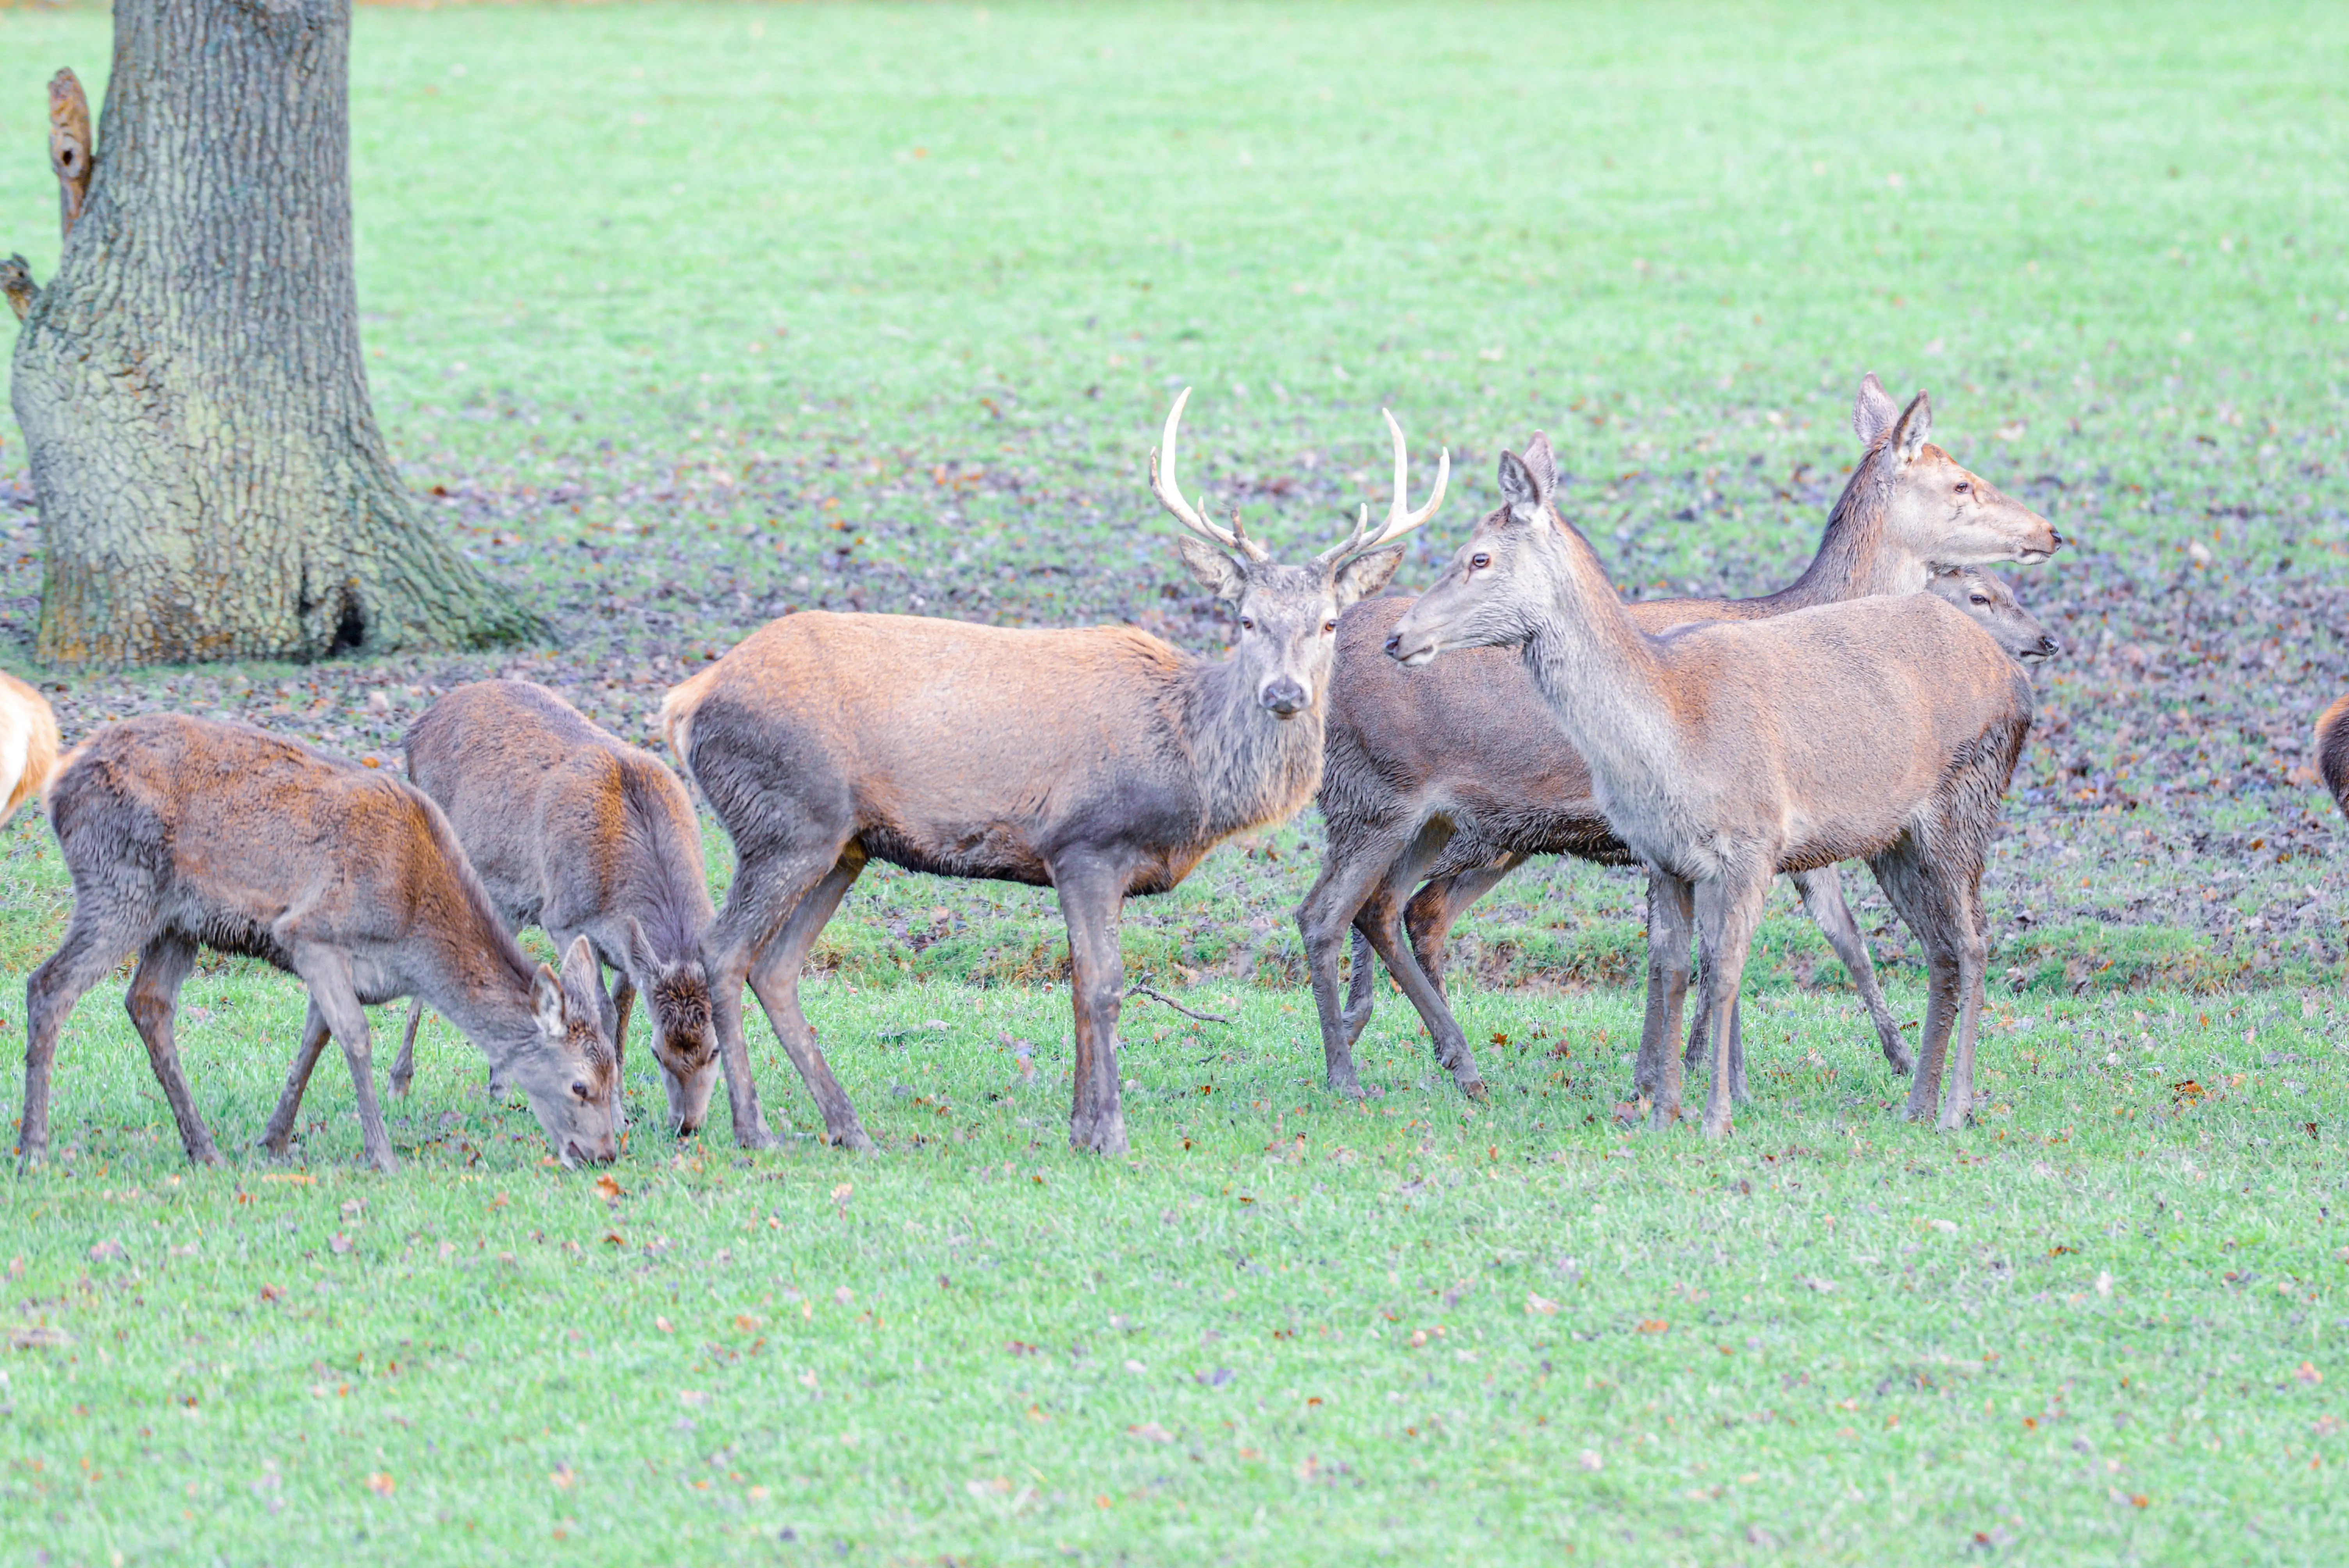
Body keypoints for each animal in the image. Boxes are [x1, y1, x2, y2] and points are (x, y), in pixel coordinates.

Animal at [20, 715, 622, 1172]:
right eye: (580, 1086)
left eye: (614, 1075)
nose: (603, 1154)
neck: (410, 932)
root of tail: (58, 787)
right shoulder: (310, 932)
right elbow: (354, 1036)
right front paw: (382, 1156)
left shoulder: (335, 963)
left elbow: (316, 1038)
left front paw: (273, 1140)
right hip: (119, 883)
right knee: (49, 984)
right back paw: (34, 1151)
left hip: (176, 922)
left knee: (147, 1003)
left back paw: (204, 1148)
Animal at [389, 680, 719, 1137]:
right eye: (656, 1052)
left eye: (715, 1050)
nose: (687, 1124)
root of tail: (414, 730)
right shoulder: (563, 917)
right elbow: (601, 1010)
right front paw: (616, 1115)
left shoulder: (625, 946)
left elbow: (622, 1009)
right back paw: (400, 1081)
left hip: (504, 901)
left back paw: (500, 1086)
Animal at [660, 390, 1444, 1155]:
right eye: (1247, 619)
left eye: (1329, 623)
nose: (1285, 693)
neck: (1187, 763)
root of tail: (686, 700)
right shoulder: (1086, 842)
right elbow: (1104, 988)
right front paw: (1111, 1135)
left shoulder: (1081, 863)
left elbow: (1076, 991)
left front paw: (1078, 1128)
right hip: (786, 819)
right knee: (721, 951)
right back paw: (755, 1131)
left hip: (842, 846)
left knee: (776, 967)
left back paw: (849, 1129)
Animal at [1301, 376, 2062, 1104]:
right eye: (1961, 481)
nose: (2051, 532)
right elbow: (1746, 949)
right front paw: (1724, 1079)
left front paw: (1673, 1073)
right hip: (1378, 796)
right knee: (1335, 913)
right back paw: (1353, 1070)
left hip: (1452, 825)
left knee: (1396, 909)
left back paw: (1434, 1056)